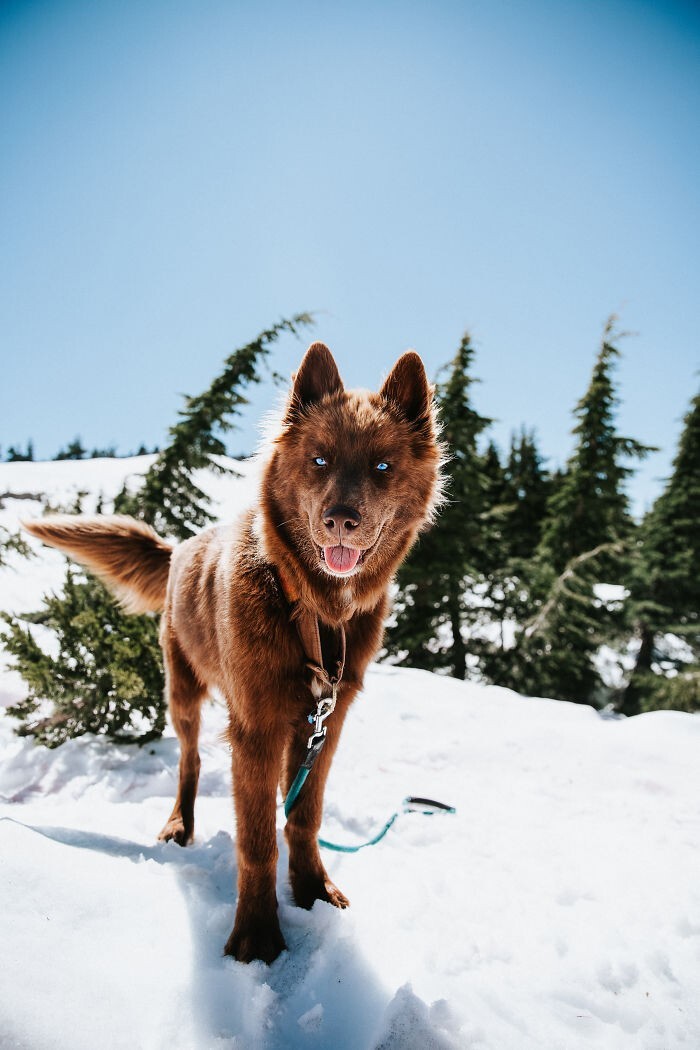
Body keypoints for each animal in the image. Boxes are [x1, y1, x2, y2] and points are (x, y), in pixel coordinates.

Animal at [27, 342, 447, 961]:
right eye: (319, 460)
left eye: (382, 467)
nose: (340, 520)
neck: (308, 608)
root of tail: (179, 547)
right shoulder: (256, 725)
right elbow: (257, 841)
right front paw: (256, 936)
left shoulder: (326, 722)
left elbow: (302, 816)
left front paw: (313, 891)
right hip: (183, 691)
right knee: (190, 760)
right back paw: (179, 825)